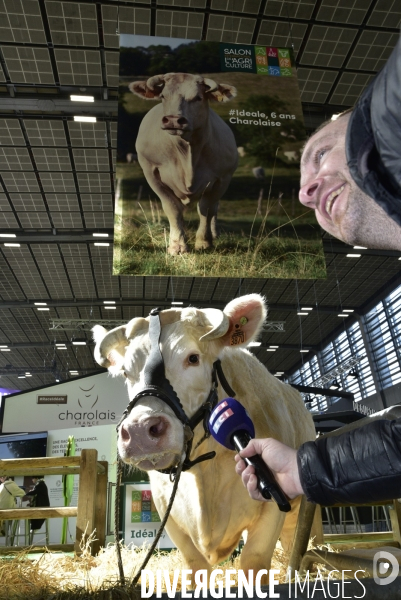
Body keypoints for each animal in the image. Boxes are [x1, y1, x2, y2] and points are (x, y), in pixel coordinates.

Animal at [92, 296, 314, 576]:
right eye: (125, 373)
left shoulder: (272, 509)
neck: (203, 473)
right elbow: (195, 566)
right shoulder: (167, 511)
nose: (140, 430)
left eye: (193, 358)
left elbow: (253, 561)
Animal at [128, 73, 238, 255]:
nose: (173, 120)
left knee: (214, 208)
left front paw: (204, 242)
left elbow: (206, 209)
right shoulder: (151, 173)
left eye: (198, 97)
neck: (187, 154)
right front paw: (177, 246)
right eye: (163, 96)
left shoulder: (223, 178)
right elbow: (173, 208)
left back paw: (214, 234)